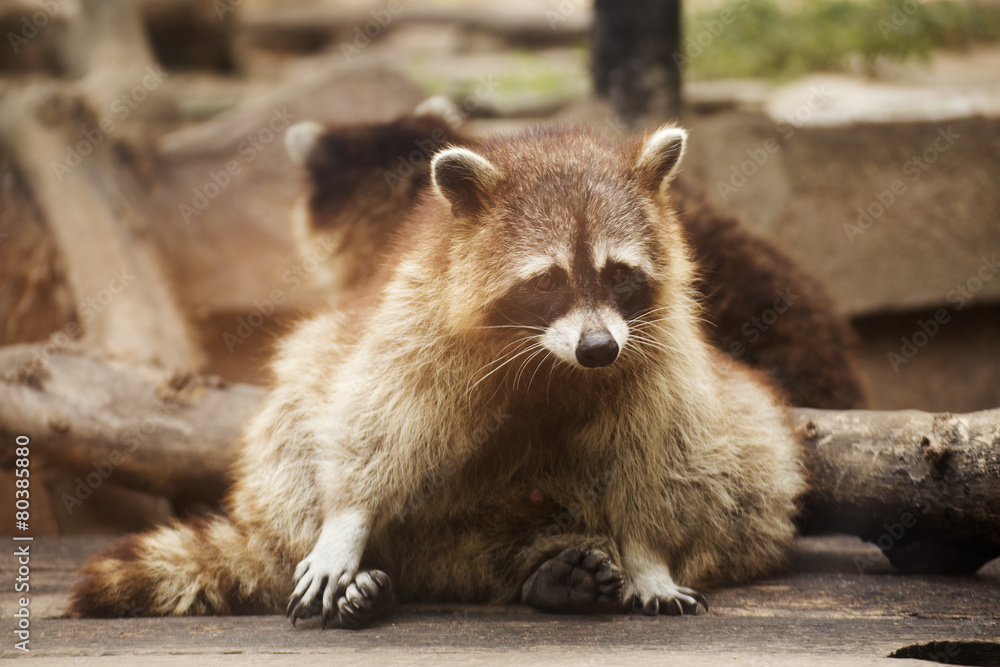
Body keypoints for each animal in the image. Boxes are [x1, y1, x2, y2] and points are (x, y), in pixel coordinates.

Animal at [71, 125, 805, 627]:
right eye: (548, 281)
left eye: (619, 273)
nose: (597, 350)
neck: (551, 357)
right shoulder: (420, 320)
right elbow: (377, 416)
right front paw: (346, 520)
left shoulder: (654, 349)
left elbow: (656, 452)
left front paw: (647, 551)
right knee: (298, 418)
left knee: (749, 464)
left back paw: (551, 572)